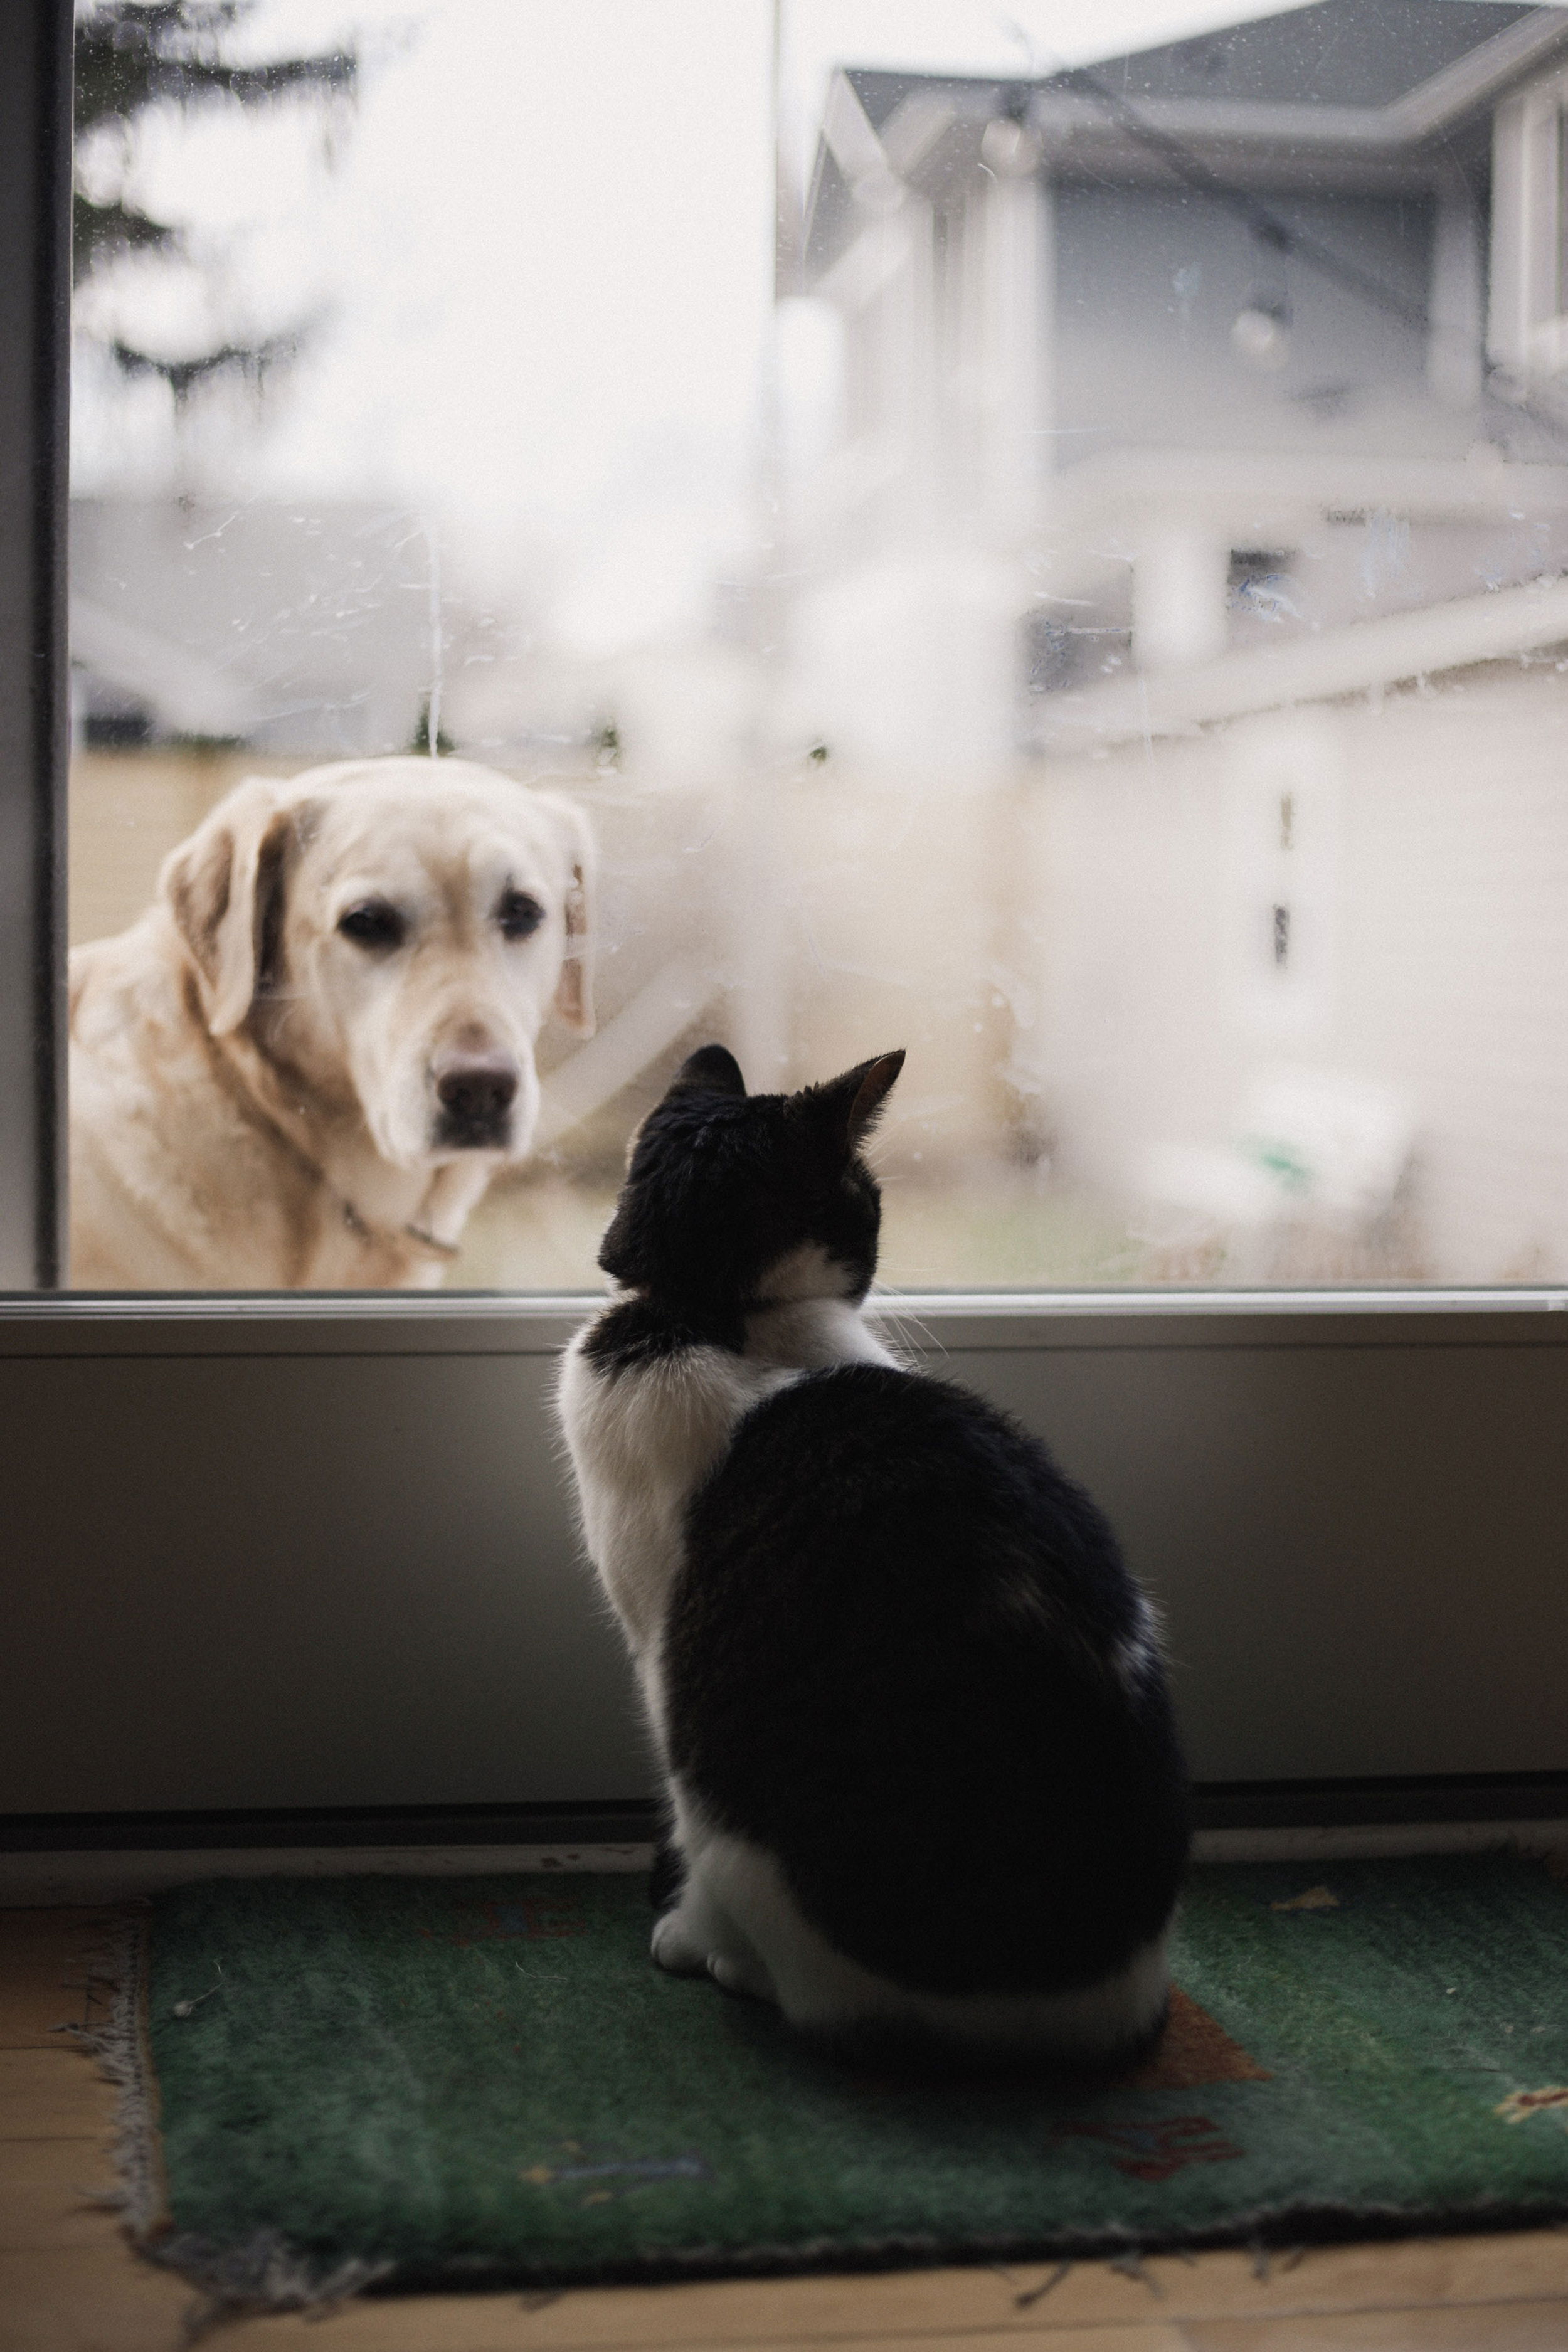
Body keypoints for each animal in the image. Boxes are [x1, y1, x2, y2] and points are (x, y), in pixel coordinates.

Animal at [557, 1044, 1185, 2060]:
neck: (720, 1311)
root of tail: (1094, 2012)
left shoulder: (656, 1646)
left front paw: (684, 1934)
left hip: (726, 1794)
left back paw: (729, 1960)